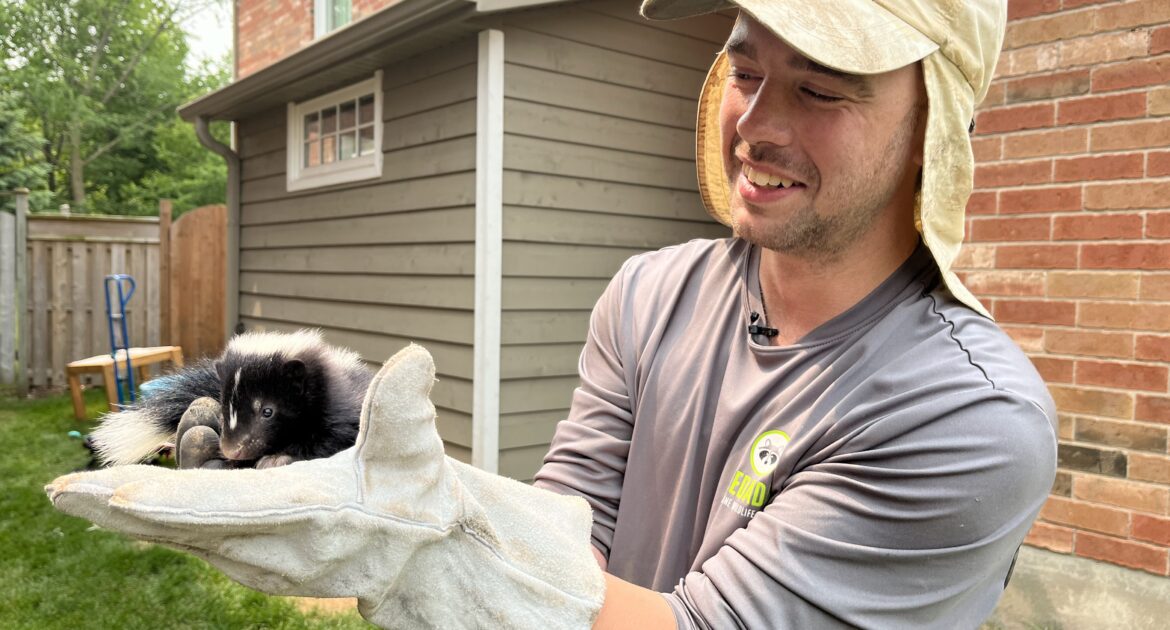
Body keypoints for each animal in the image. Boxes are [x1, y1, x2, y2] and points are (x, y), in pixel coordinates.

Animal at [91, 327, 374, 466]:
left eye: (267, 411)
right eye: (224, 409)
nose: (232, 450)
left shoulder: (342, 412)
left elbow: (331, 438)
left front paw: (279, 457)